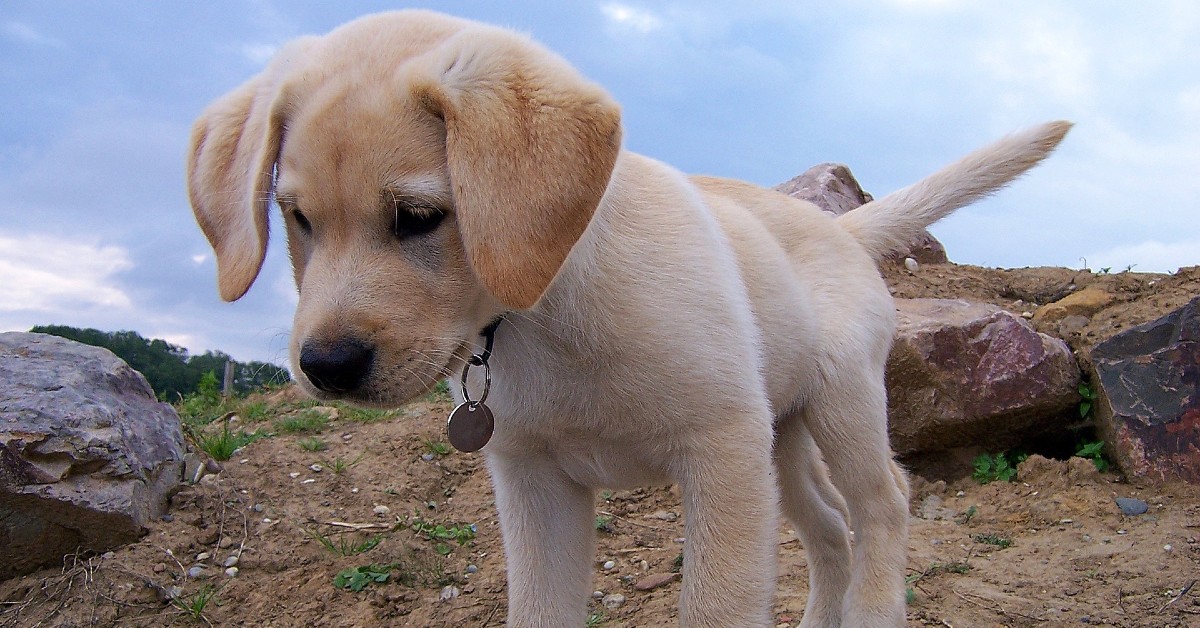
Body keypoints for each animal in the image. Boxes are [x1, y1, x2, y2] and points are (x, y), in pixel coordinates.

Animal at [187, 11, 1070, 628]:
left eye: (418, 217)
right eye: (296, 218)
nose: (326, 366)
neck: (544, 313)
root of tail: (840, 227)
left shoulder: (719, 454)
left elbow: (715, 608)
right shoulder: (534, 482)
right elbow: (539, 612)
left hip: (840, 401)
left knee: (884, 503)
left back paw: (875, 607)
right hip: (779, 438)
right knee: (828, 532)